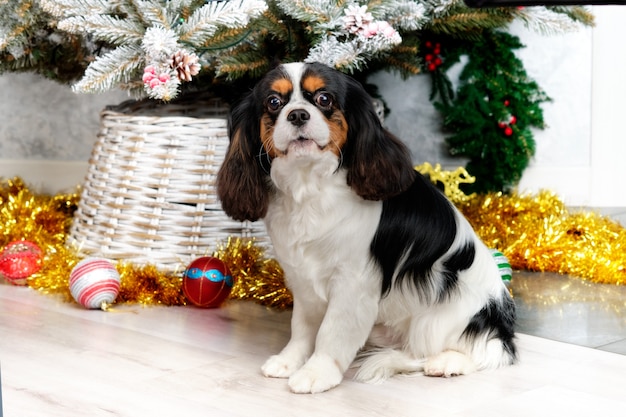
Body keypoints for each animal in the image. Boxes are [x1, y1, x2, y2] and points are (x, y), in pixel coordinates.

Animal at [217, 61, 516, 394]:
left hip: (442, 318)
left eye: (324, 99)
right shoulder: (303, 278)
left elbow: (331, 332)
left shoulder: (353, 283)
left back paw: (448, 362)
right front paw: (290, 361)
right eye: (273, 102)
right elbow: (303, 327)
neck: (310, 185)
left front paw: (317, 372)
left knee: (483, 351)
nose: (297, 114)